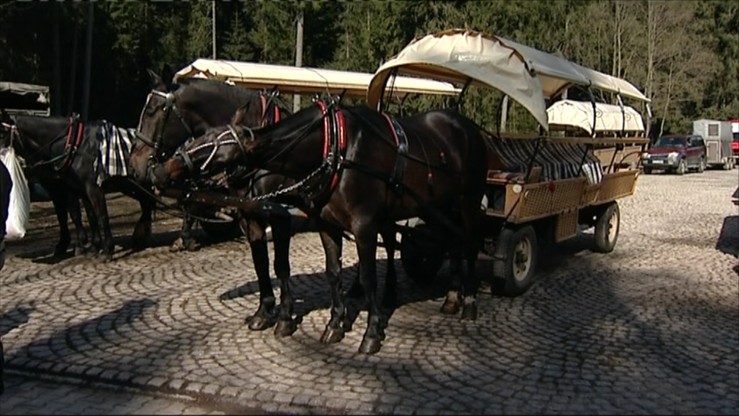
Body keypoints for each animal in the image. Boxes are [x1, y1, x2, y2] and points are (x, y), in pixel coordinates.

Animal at [4, 114, 156, 262]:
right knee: (146, 204)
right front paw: (91, 246)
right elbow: (84, 216)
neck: (75, 145)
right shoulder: (71, 189)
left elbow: (98, 216)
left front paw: (103, 249)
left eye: (2, 132)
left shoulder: (89, 189)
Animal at [152, 101, 488, 354]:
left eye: (210, 147)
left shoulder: (361, 225)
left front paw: (371, 333)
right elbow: (331, 273)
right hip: (439, 207)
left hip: (468, 202)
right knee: (447, 242)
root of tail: (469, 128)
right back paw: (451, 297)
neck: (335, 146)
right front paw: (335, 324)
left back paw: (470, 302)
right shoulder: (326, 223)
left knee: (470, 244)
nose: (160, 170)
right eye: (199, 138)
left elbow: (365, 277)